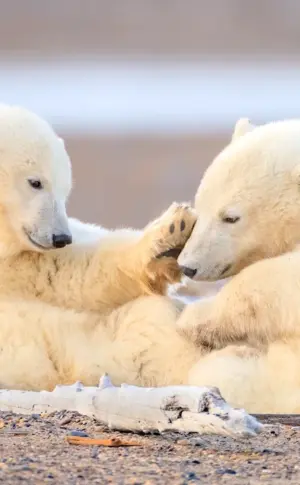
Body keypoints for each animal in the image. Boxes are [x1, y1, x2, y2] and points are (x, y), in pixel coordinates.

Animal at [0, 108, 300, 414]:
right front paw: (168, 239)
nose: (188, 265)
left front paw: (196, 318)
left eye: (230, 217)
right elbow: (59, 273)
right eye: (202, 205)